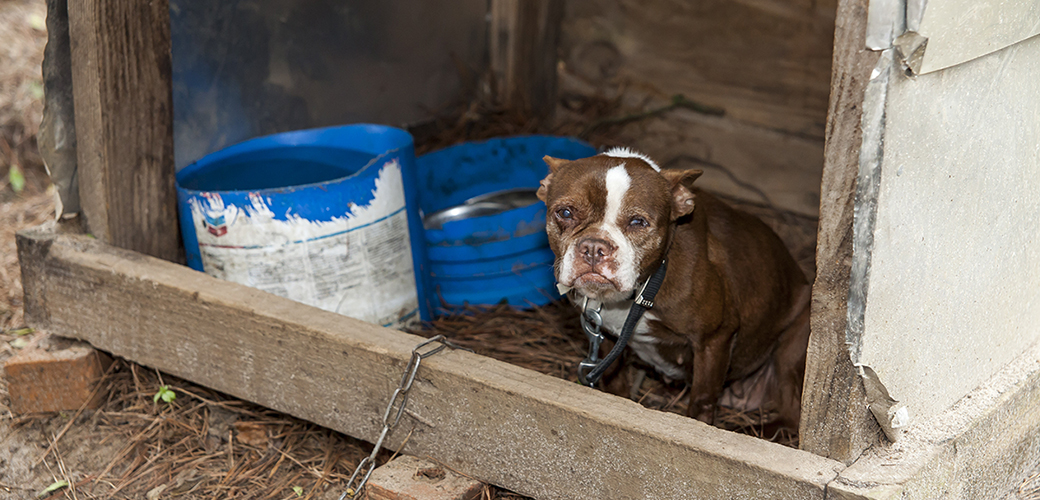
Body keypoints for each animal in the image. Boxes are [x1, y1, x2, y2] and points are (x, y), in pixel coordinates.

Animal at [536, 147, 811, 428]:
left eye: (638, 222)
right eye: (565, 213)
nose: (593, 247)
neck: (639, 291)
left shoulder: (715, 338)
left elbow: (702, 400)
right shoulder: (602, 335)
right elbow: (613, 378)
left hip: (795, 344)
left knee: (791, 415)